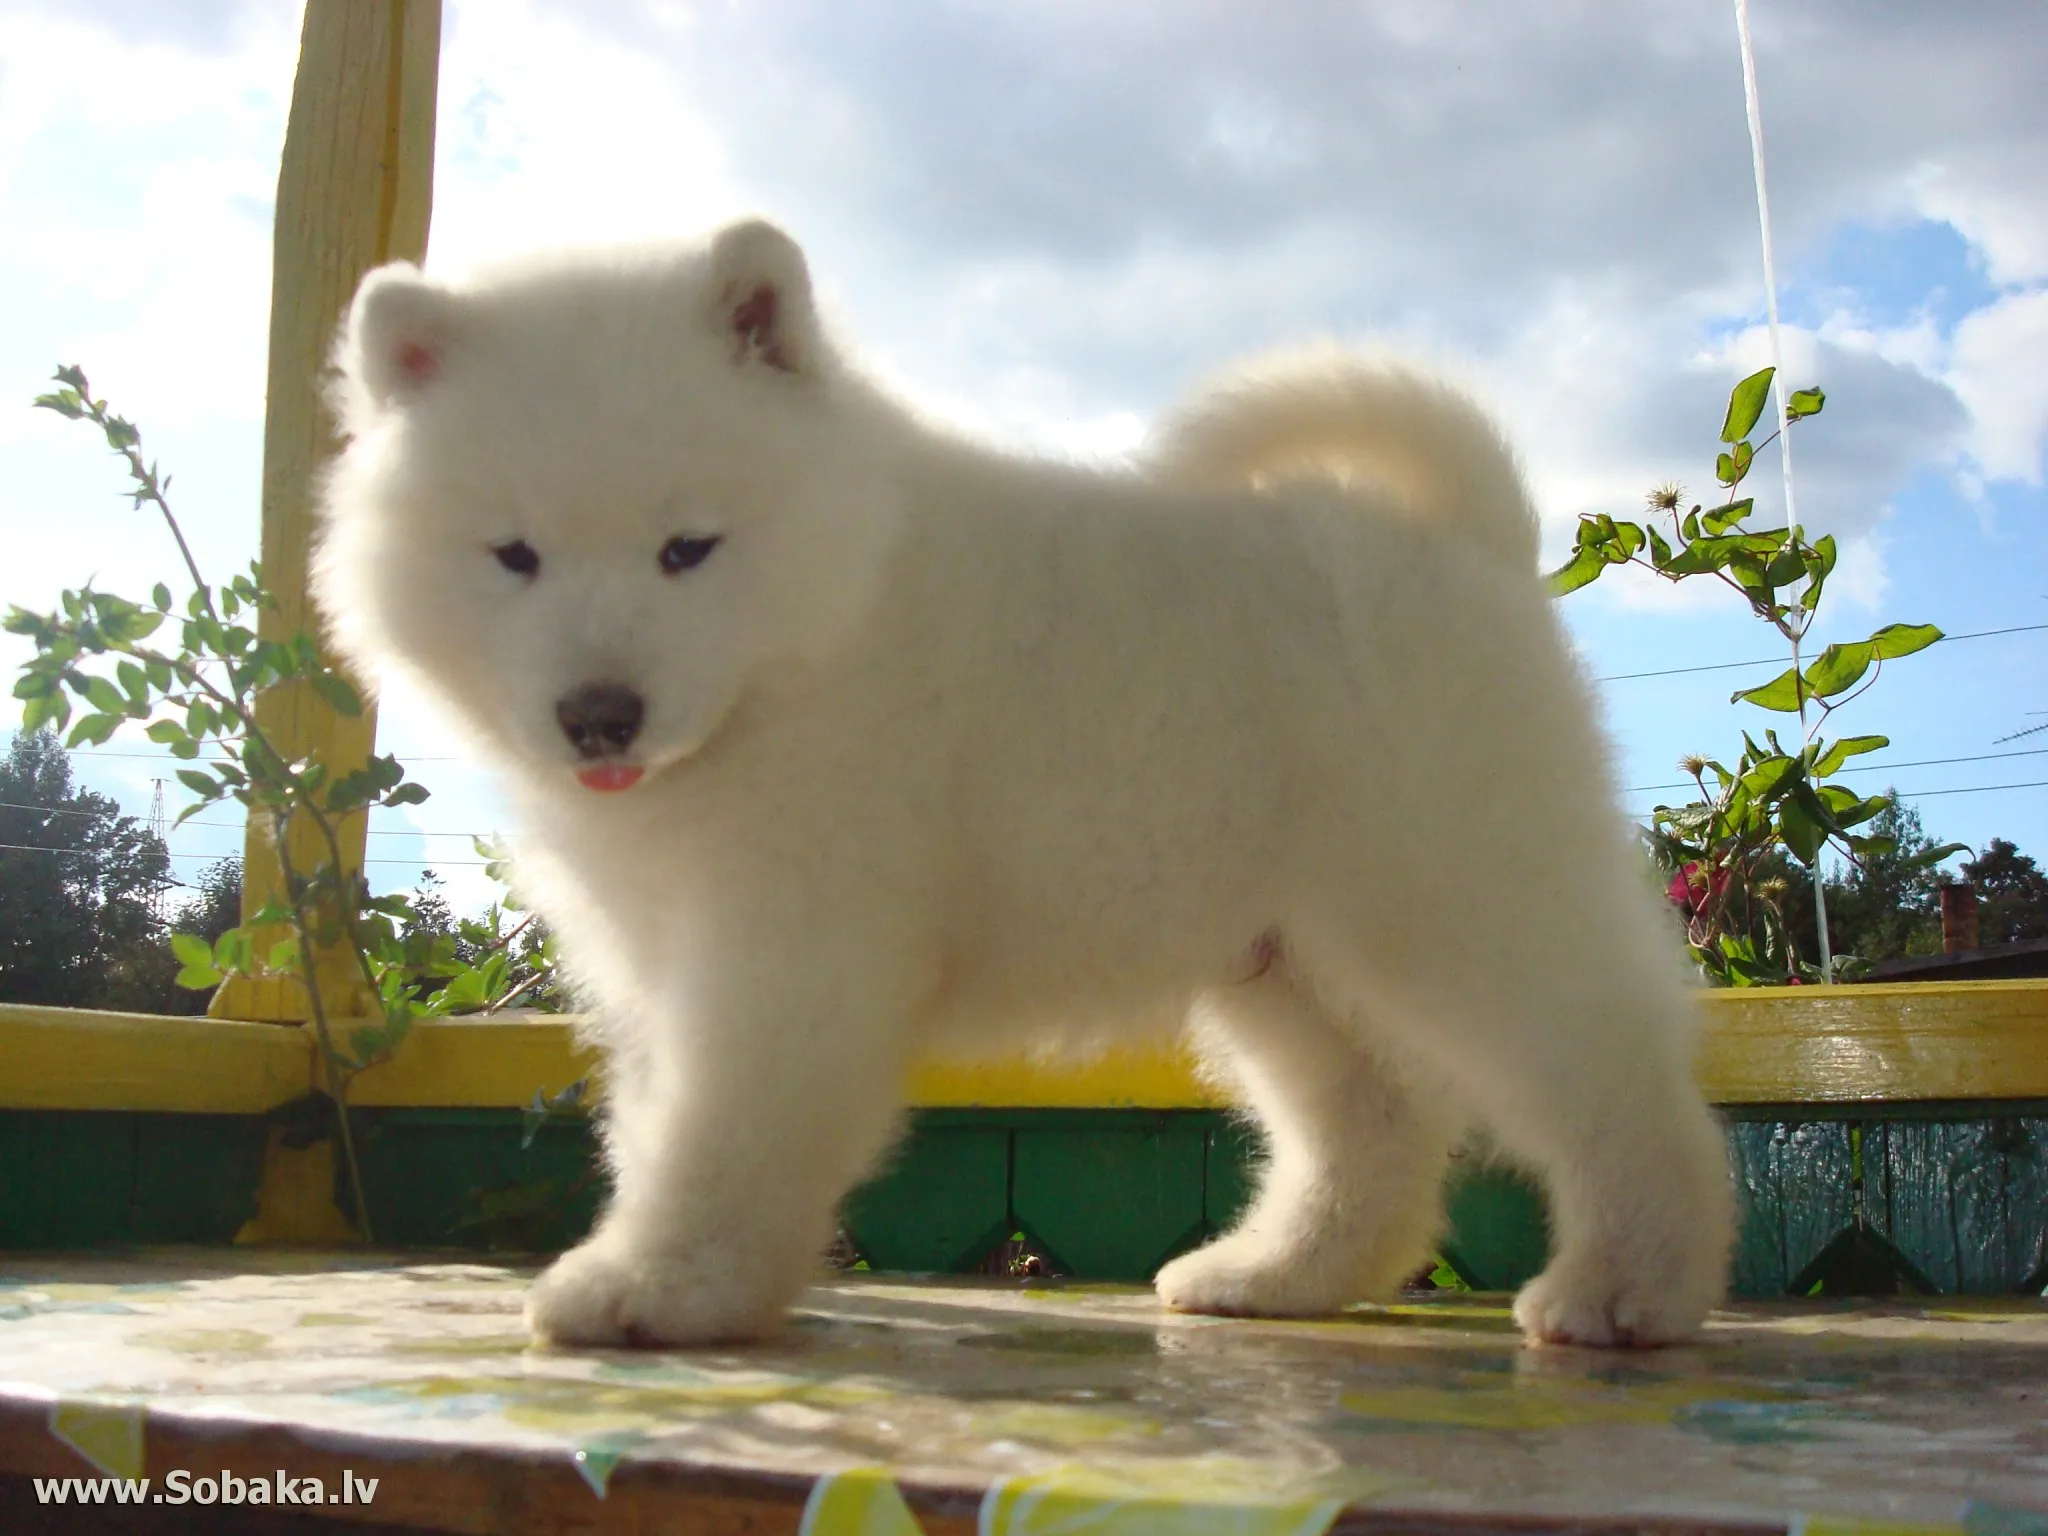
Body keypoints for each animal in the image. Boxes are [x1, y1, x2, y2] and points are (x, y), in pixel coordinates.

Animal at [311, 217, 1736, 1343]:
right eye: (512, 555)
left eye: (686, 549)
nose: (598, 717)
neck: (823, 622)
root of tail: (1468, 541)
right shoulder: (665, 954)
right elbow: (665, 1122)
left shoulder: (787, 949)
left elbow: (722, 1133)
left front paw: (663, 1289)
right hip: (1284, 957)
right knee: (1368, 1125)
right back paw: (1276, 1275)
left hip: (1452, 907)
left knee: (1615, 1087)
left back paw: (1630, 1290)